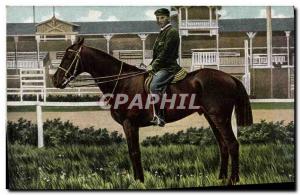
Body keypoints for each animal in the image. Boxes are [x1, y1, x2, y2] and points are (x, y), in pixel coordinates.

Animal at [52, 37, 252, 185]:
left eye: (68, 56)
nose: (55, 80)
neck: (121, 81)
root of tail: (231, 78)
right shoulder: (129, 126)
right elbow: (133, 152)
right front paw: (137, 180)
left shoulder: (130, 124)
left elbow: (134, 152)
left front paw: (139, 181)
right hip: (212, 118)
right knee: (223, 145)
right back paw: (220, 178)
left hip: (220, 118)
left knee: (232, 144)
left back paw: (233, 180)